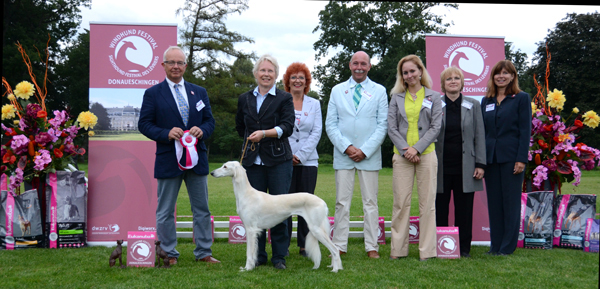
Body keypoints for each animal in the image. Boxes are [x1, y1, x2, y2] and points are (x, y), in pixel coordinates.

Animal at [211, 161, 342, 272]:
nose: (212, 173)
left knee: (335, 249)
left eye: (225, 166)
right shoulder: (253, 230)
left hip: (316, 229)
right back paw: (333, 266)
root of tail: (322, 202)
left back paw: (335, 270)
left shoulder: (250, 229)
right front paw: (252, 266)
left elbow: (249, 253)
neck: (246, 194)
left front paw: (247, 268)